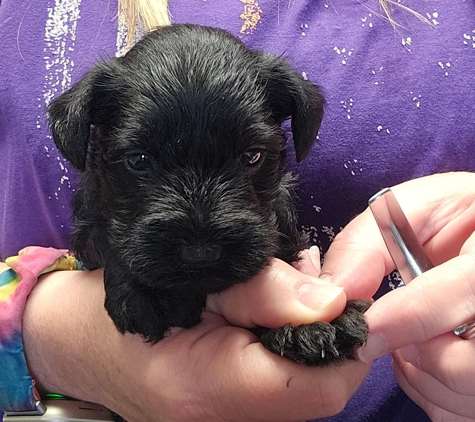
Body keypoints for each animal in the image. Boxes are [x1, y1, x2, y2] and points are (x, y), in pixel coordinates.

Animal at [48, 23, 370, 366]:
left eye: (251, 156)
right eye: (139, 160)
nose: (200, 252)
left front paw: (310, 325)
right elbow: (108, 237)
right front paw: (148, 292)